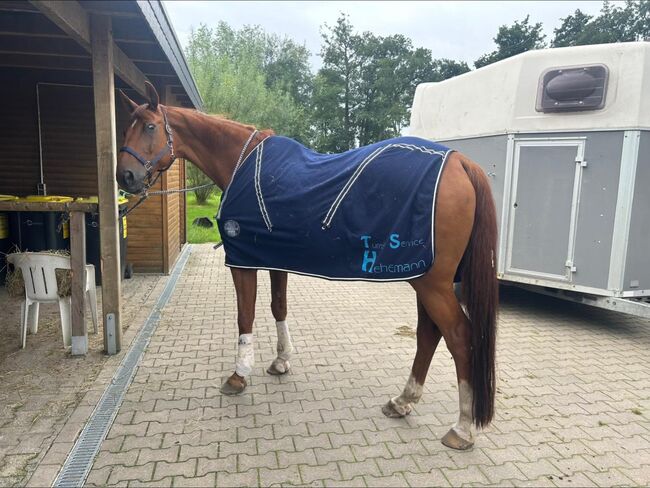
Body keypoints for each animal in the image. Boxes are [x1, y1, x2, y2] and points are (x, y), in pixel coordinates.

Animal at [116, 83, 496, 450]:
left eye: (149, 127)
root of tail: (459, 162)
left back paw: (462, 428)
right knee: (428, 334)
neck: (242, 164)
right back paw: (403, 401)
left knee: (458, 336)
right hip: (421, 277)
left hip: (432, 283)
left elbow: (245, 315)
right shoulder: (273, 258)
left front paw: (239, 375)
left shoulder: (242, 262)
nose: (125, 177)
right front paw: (281, 361)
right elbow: (278, 307)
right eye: (127, 127)